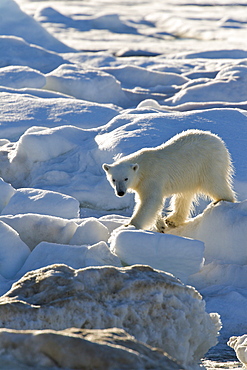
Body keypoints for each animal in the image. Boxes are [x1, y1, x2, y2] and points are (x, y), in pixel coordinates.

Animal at [102, 129, 235, 230]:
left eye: (126, 178)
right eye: (114, 179)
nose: (120, 192)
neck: (143, 167)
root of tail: (219, 141)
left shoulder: (151, 178)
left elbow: (150, 201)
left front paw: (129, 225)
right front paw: (160, 225)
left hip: (208, 164)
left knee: (215, 184)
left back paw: (223, 201)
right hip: (189, 176)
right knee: (184, 196)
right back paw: (172, 220)